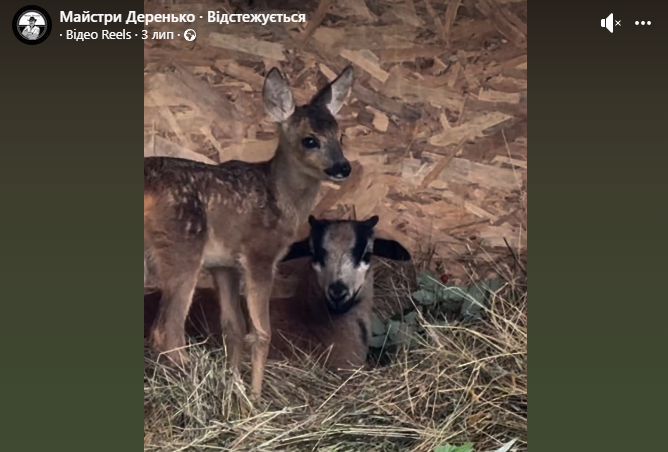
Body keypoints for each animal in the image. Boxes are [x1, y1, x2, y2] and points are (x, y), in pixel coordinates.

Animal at [143, 65, 354, 398]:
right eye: (310, 140)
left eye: (340, 135)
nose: (343, 167)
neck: (279, 196)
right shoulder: (260, 255)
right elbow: (262, 332)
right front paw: (255, 396)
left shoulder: (224, 265)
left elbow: (235, 327)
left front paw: (236, 386)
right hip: (182, 247)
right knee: (167, 332)